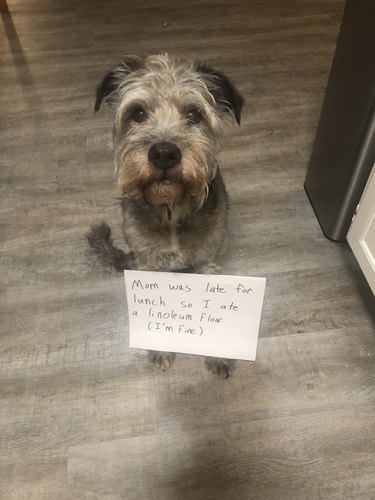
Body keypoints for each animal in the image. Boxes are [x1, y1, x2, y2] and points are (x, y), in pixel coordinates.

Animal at [87, 52, 245, 376]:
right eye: (137, 112)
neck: (172, 207)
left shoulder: (207, 261)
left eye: (194, 114)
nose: (163, 153)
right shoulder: (148, 265)